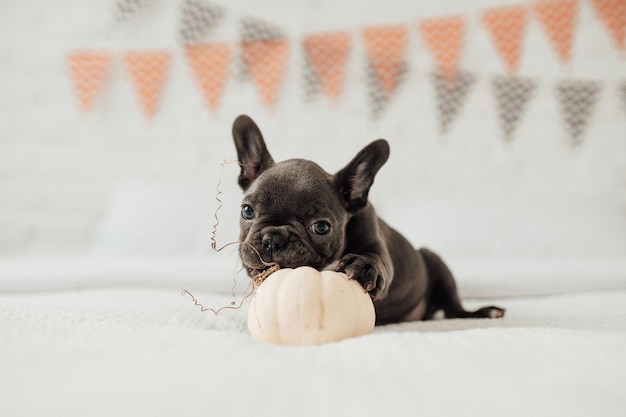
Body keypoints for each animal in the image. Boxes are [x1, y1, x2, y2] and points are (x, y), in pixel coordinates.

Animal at [232, 114, 504, 324]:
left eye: (321, 227)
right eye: (247, 211)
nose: (272, 238)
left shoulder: (376, 242)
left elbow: (378, 259)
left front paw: (363, 266)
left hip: (436, 263)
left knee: (454, 309)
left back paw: (483, 312)